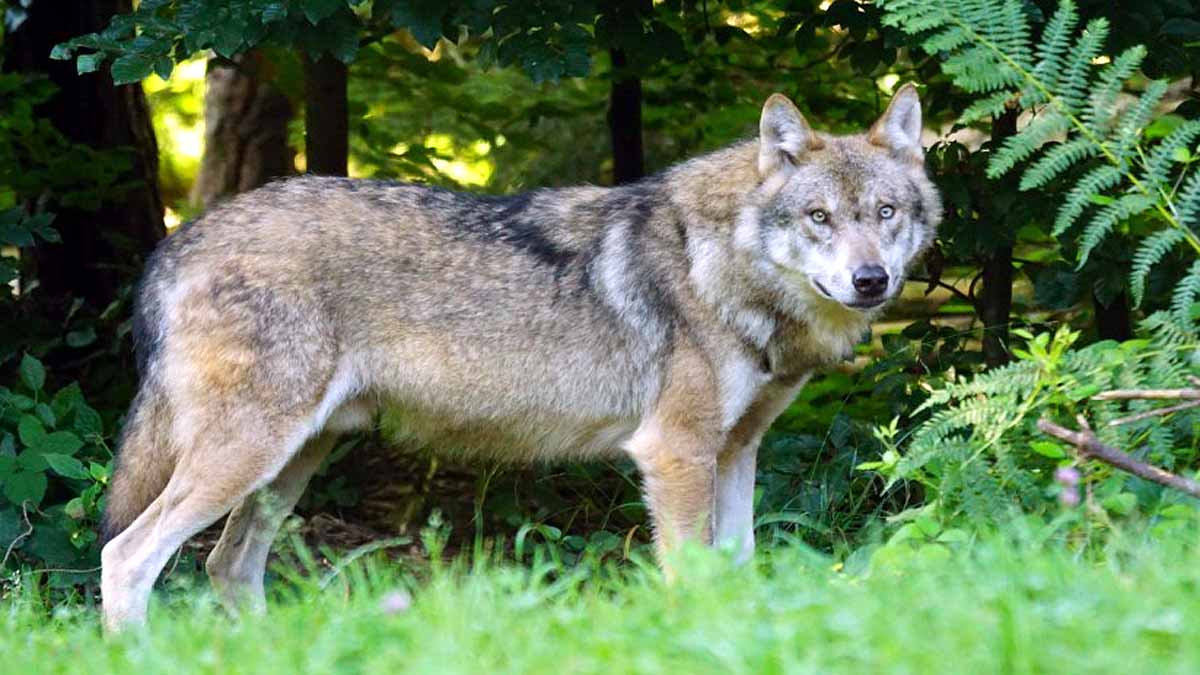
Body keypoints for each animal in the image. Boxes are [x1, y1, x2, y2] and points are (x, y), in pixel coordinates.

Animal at [99, 84, 940, 630]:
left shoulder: (736, 451)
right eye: (819, 217)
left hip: (292, 462)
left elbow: (738, 570)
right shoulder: (675, 453)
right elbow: (692, 578)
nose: (871, 280)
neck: (721, 264)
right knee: (125, 555)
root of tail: (177, 240)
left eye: (884, 213)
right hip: (249, 456)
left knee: (227, 566)